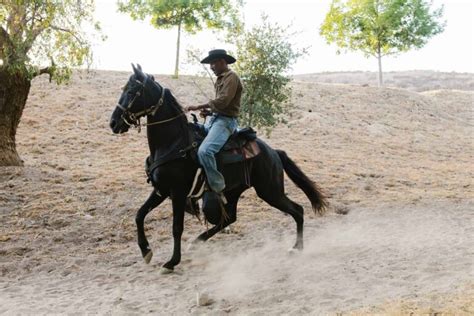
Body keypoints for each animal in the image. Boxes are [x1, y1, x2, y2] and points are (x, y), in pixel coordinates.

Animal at [110, 65, 326, 274]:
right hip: (235, 191)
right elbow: (139, 215)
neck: (173, 143)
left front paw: (171, 262)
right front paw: (146, 251)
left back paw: (297, 248)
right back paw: (197, 241)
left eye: (132, 91)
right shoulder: (161, 190)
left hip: (270, 191)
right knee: (230, 217)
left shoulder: (177, 192)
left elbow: (176, 227)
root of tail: (274, 152)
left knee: (297, 210)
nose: (113, 123)